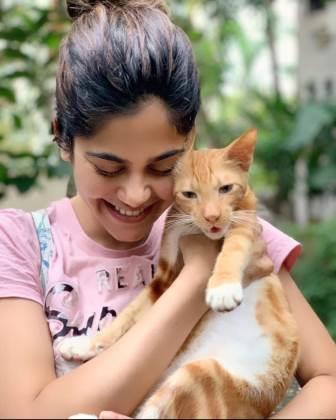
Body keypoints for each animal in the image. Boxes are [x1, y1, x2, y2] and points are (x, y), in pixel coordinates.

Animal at [59, 129, 298, 420]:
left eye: (226, 188)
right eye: (189, 194)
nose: (212, 217)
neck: (196, 230)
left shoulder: (246, 222)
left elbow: (233, 248)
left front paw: (223, 288)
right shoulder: (165, 275)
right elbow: (128, 314)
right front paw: (86, 344)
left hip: (203, 376)